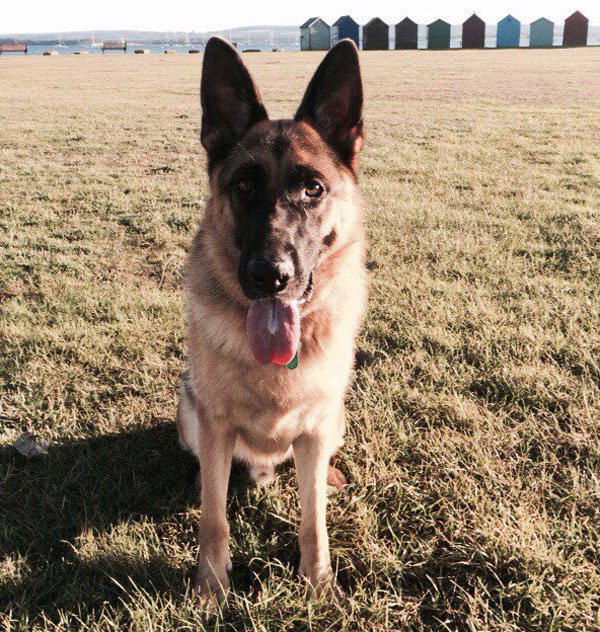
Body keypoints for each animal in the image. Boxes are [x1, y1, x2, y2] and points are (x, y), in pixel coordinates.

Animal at [177, 37, 366, 604]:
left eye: (312, 189)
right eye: (242, 186)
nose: (269, 276)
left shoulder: (316, 430)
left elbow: (313, 521)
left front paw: (317, 581)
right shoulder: (215, 424)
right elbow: (214, 519)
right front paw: (211, 587)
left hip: (335, 420)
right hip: (188, 407)